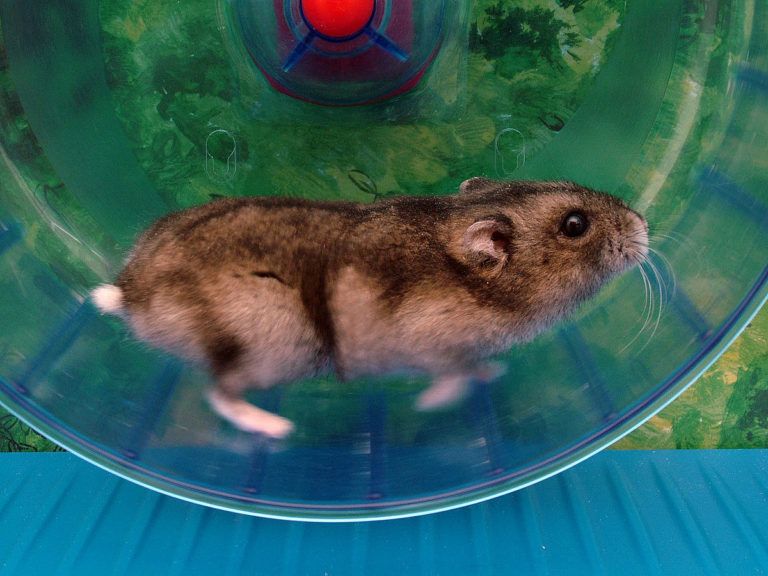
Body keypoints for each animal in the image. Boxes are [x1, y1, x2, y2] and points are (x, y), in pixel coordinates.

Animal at [92, 178, 648, 438]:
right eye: (575, 225)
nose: (644, 225)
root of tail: (129, 291)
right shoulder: (432, 343)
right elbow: (454, 375)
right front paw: (431, 404)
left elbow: (475, 366)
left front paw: (494, 371)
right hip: (271, 343)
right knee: (219, 393)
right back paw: (278, 428)